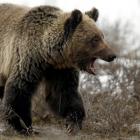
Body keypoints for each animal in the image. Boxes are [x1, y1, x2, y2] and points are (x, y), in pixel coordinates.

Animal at [0, 3, 116, 134]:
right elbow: (19, 89)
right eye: (95, 39)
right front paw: (22, 125)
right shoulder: (28, 61)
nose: (112, 55)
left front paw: (73, 122)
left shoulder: (60, 70)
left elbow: (64, 93)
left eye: (102, 36)